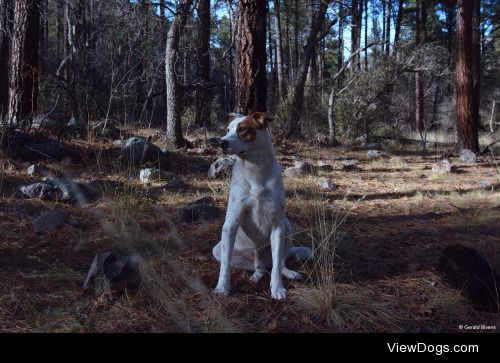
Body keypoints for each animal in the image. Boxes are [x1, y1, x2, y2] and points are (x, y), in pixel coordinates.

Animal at [212, 112, 312, 300]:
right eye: (228, 130)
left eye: (242, 129)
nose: (222, 142)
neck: (254, 169)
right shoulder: (230, 225)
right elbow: (225, 265)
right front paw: (222, 288)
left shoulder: (278, 226)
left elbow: (277, 267)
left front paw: (277, 289)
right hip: (222, 250)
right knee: (259, 265)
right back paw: (256, 274)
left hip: (286, 226)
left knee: (278, 263)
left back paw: (289, 273)